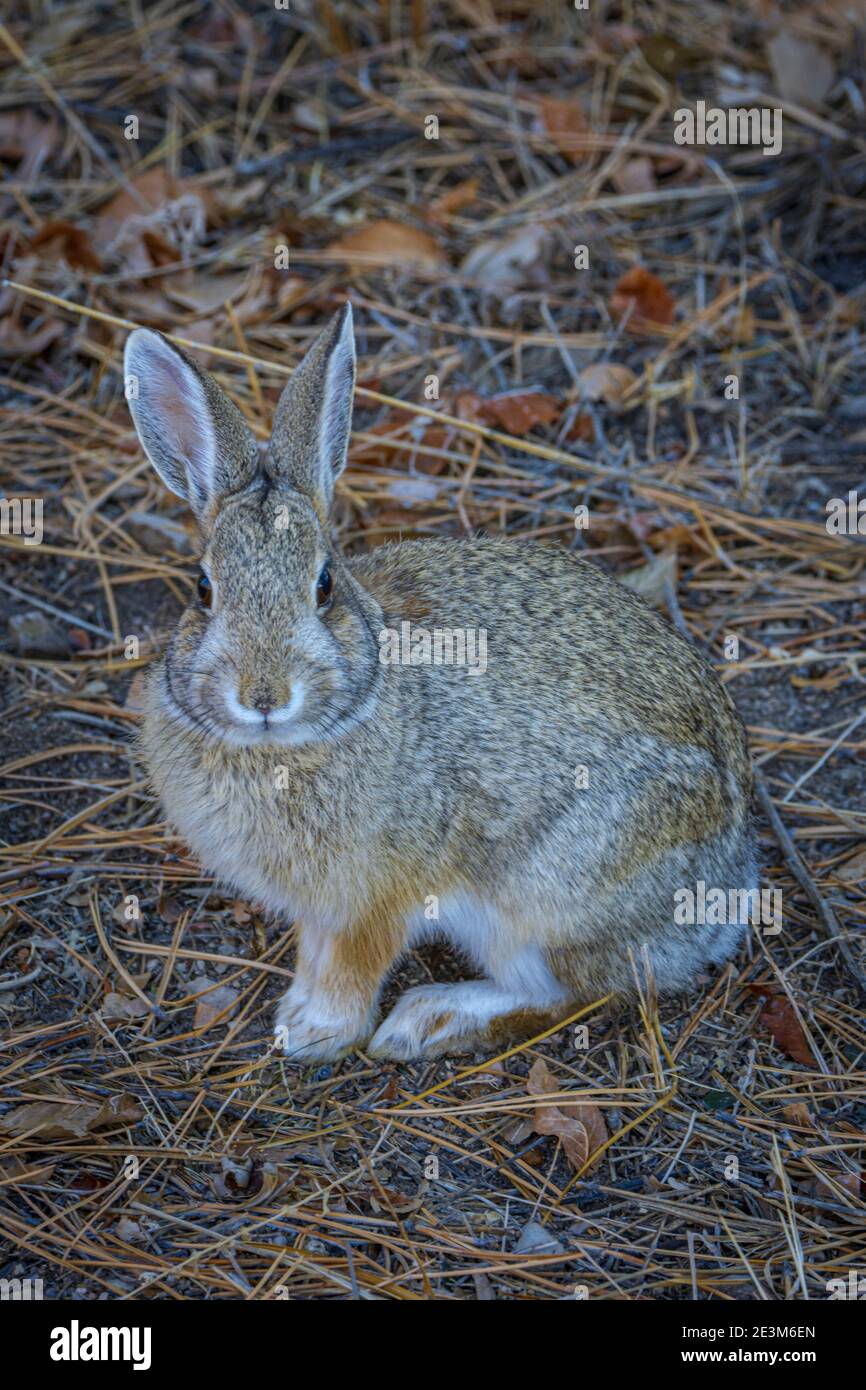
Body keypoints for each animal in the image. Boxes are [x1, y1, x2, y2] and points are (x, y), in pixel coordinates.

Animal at [123, 307, 756, 1061]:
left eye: (324, 586)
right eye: (203, 589)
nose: (264, 695)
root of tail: (725, 898)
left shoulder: (379, 894)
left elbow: (355, 962)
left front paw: (317, 1033)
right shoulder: (318, 905)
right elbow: (313, 953)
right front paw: (294, 1013)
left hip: (541, 901)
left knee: (578, 993)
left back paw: (428, 1020)